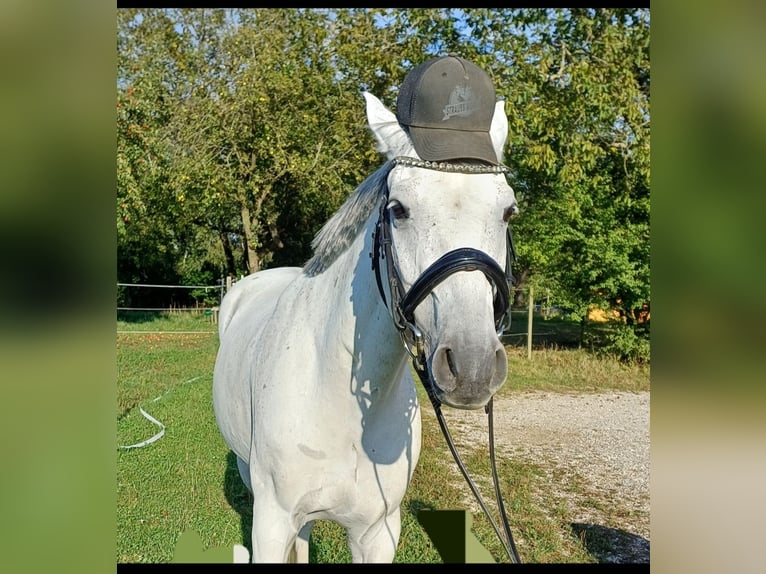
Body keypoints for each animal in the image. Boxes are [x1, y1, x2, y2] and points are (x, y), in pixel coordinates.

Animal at [213, 92, 520, 564]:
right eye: (398, 210)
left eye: (507, 211)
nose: (472, 367)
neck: (338, 402)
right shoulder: (271, 523)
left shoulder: (377, 532)